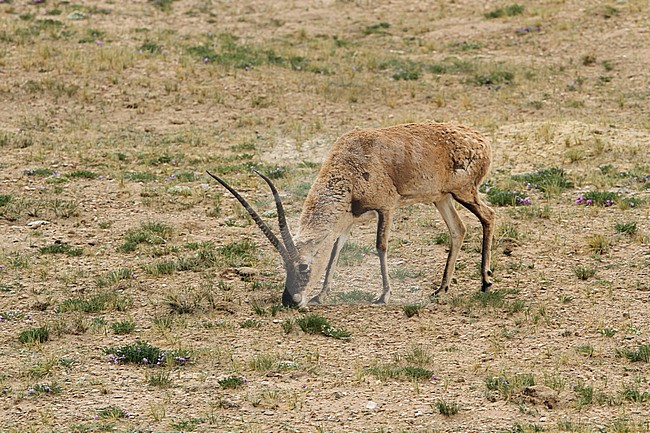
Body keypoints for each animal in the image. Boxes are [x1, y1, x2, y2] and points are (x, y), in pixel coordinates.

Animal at [207, 122, 495, 308]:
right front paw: (321, 295)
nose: (290, 301)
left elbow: (380, 246)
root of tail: (481, 140)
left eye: (303, 266)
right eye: (283, 265)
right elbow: (336, 250)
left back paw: (485, 282)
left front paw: (384, 295)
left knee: (488, 216)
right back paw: (441, 289)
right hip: (442, 198)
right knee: (458, 229)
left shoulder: (386, 208)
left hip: (464, 192)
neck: (350, 164)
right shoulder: (347, 221)